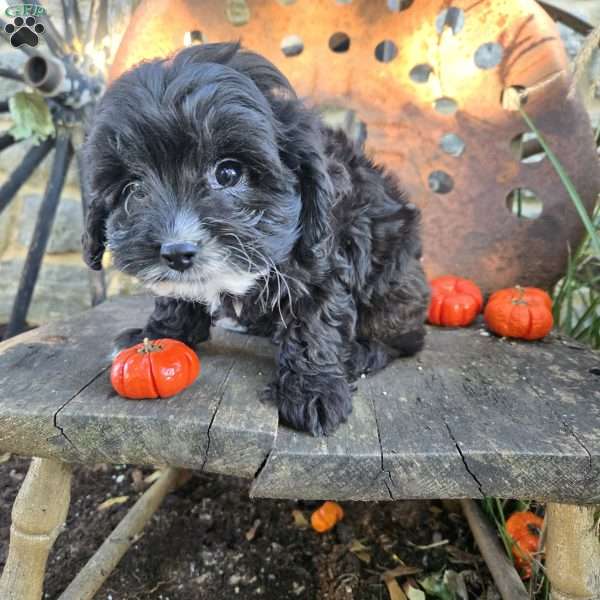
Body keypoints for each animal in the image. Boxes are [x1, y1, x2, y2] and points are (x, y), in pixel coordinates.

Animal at [83, 43, 432, 436]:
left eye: (228, 173)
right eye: (133, 189)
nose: (176, 252)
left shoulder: (323, 259)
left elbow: (315, 321)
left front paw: (314, 390)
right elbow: (176, 298)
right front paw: (157, 335)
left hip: (396, 283)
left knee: (406, 337)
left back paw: (363, 352)